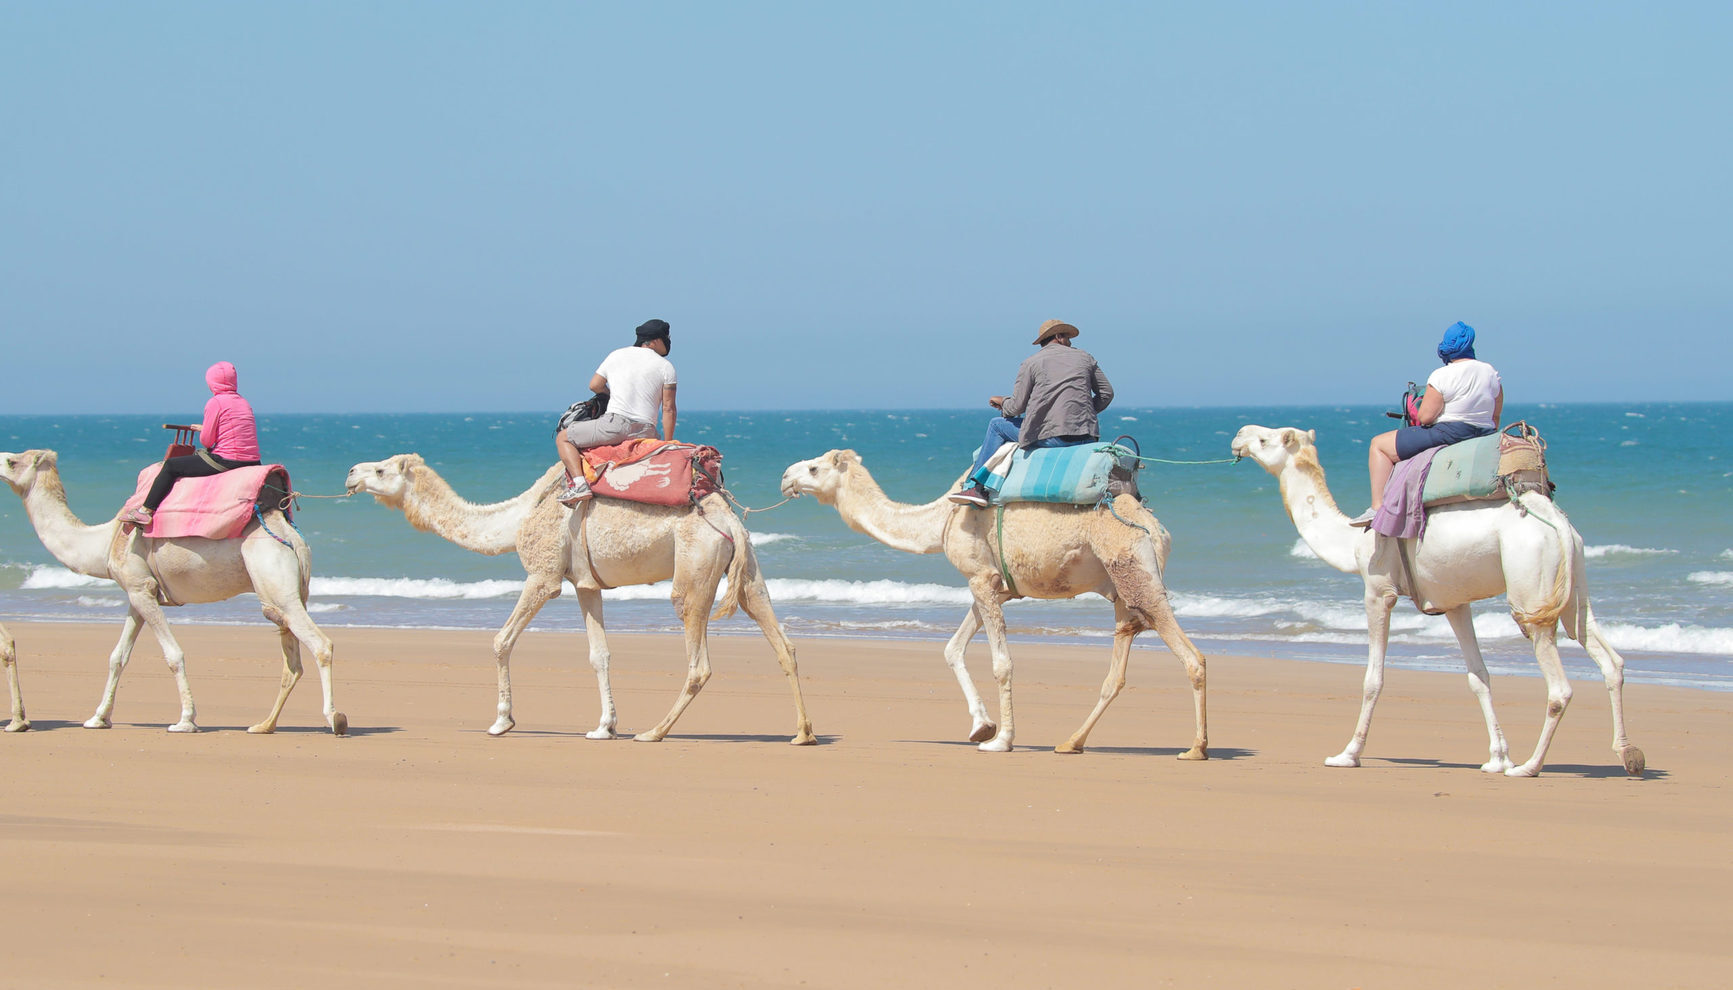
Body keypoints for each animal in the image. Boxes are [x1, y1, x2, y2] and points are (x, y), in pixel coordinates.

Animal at [0, 449, 345, 734]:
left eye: (12, 461)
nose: (1, 460)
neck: (105, 541)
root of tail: (291, 535)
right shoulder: (138, 593)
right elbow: (117, 657)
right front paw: (97, 718)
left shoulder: (141, 589)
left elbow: (173, 655)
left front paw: (185, 720)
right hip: (285, 590)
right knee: (291, 659)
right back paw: (263, 725)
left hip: (274, 578)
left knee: (320, 644)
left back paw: (335, 719)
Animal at [344, 454, 815, 744]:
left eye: (382, 470)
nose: (350, 473)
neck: (518, 517)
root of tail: (731, 522)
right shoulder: (586, 585)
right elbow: (599, 655)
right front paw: (604, 726)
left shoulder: (544, 575)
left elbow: (501, 640)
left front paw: (501, 720)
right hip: (748, 572)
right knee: (783, 644)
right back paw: (803, 732)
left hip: (694, 572)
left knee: (698, 660)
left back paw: (654, 732)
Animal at [780, 449, 1208, 757]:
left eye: (814, 468)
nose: (785, 477)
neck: (941, 519)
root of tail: (1157, 529)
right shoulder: (992, 584)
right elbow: (952, 649)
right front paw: (981, 726)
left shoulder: (981, 580)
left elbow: (1002, 664)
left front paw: (1000, 739)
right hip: (1121, 587)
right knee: (1117, 668)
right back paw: (1071, 742)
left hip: (1134, 566)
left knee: (1191, 657)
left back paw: (1196, 748)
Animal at [1229, 425, 1643, 777]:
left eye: (1266, 440)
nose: (1239, 436)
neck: (1351, 541)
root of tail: (1558, 522)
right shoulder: (1454, 602)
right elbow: (1479, 676)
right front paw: (1496, 758)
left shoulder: (1378, 591)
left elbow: (1373, 679)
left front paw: (1347, 754)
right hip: (1573, 588)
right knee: (1608, 658)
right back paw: (1627, 754)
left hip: (1532, 587)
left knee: (1559, 685)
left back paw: (1529, 766)